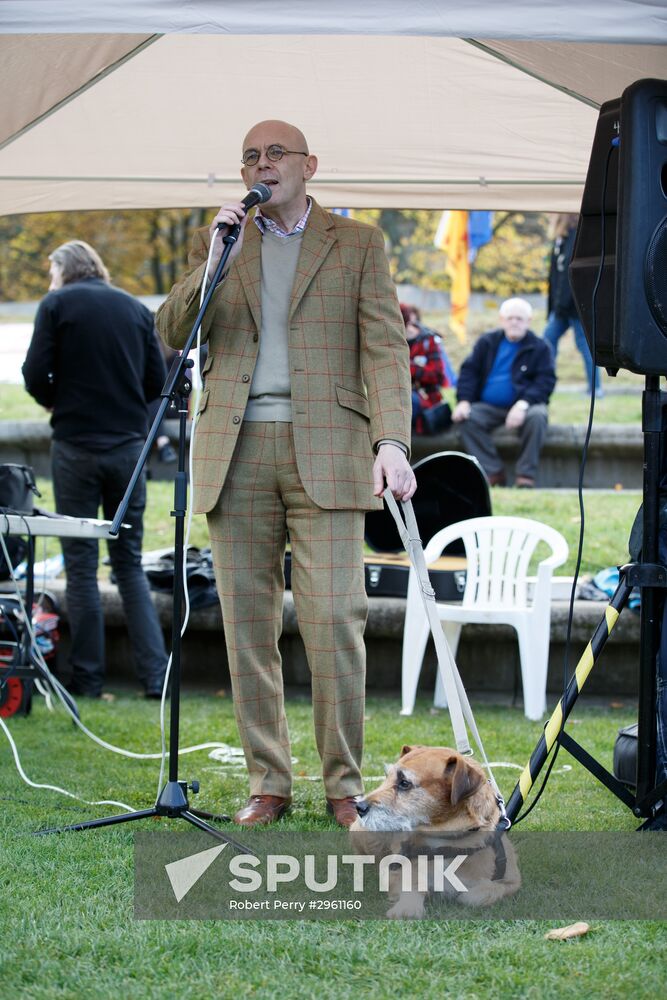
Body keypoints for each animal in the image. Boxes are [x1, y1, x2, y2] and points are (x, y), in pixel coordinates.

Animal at [350, 744, 520, 916]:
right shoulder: (394, 872)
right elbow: (412, 884)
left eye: (404, 783)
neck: (445, 842)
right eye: (386, 777)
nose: (359, 807)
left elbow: (485, 892)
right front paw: (407, 907)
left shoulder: (512, 881)